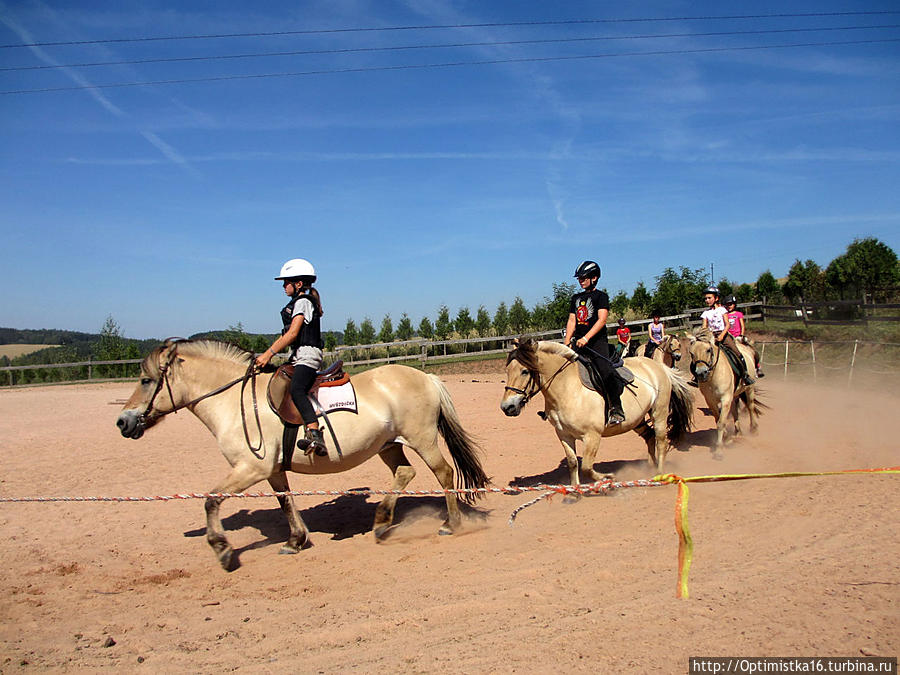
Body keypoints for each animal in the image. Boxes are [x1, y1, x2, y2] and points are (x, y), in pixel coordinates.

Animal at [118, 340, 488, 568]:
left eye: (146, 380)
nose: (123, 422)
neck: (236, 402)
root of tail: (424, 375)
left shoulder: (251, 468)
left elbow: (211, 500)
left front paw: (222, 549)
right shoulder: (272, 471)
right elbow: (285, 501)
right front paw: (296, 540)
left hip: (422, 439)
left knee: (443, 473)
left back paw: (451, 524)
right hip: (389, 444)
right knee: (404, 473)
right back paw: (382, 522)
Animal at [496, 338, 692, 486]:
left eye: (524, 371)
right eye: (507, 371)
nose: (507, 407)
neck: (568, 388)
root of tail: (658, 366)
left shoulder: (592, 436)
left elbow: (587, 467)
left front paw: (607, 477)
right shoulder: (564, 435)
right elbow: (573, 463)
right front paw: (575, 491)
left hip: (659, 413)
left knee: (660, 440)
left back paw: (659, 472)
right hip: (636, 421)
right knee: (650, 436)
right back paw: (649, 469)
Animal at [684, 326, 764, 456]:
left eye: (708, 350)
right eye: (691, 353)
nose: (701, 373)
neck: (714, 375)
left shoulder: (725, 398)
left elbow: (721, 422)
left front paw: (719, 450)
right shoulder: (710, 400)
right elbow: (718, 419)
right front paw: (727, 439)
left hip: (749, 388)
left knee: (750, 406)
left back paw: (754, 429)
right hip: (734, 394)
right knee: (735, 410)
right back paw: (738, 432)